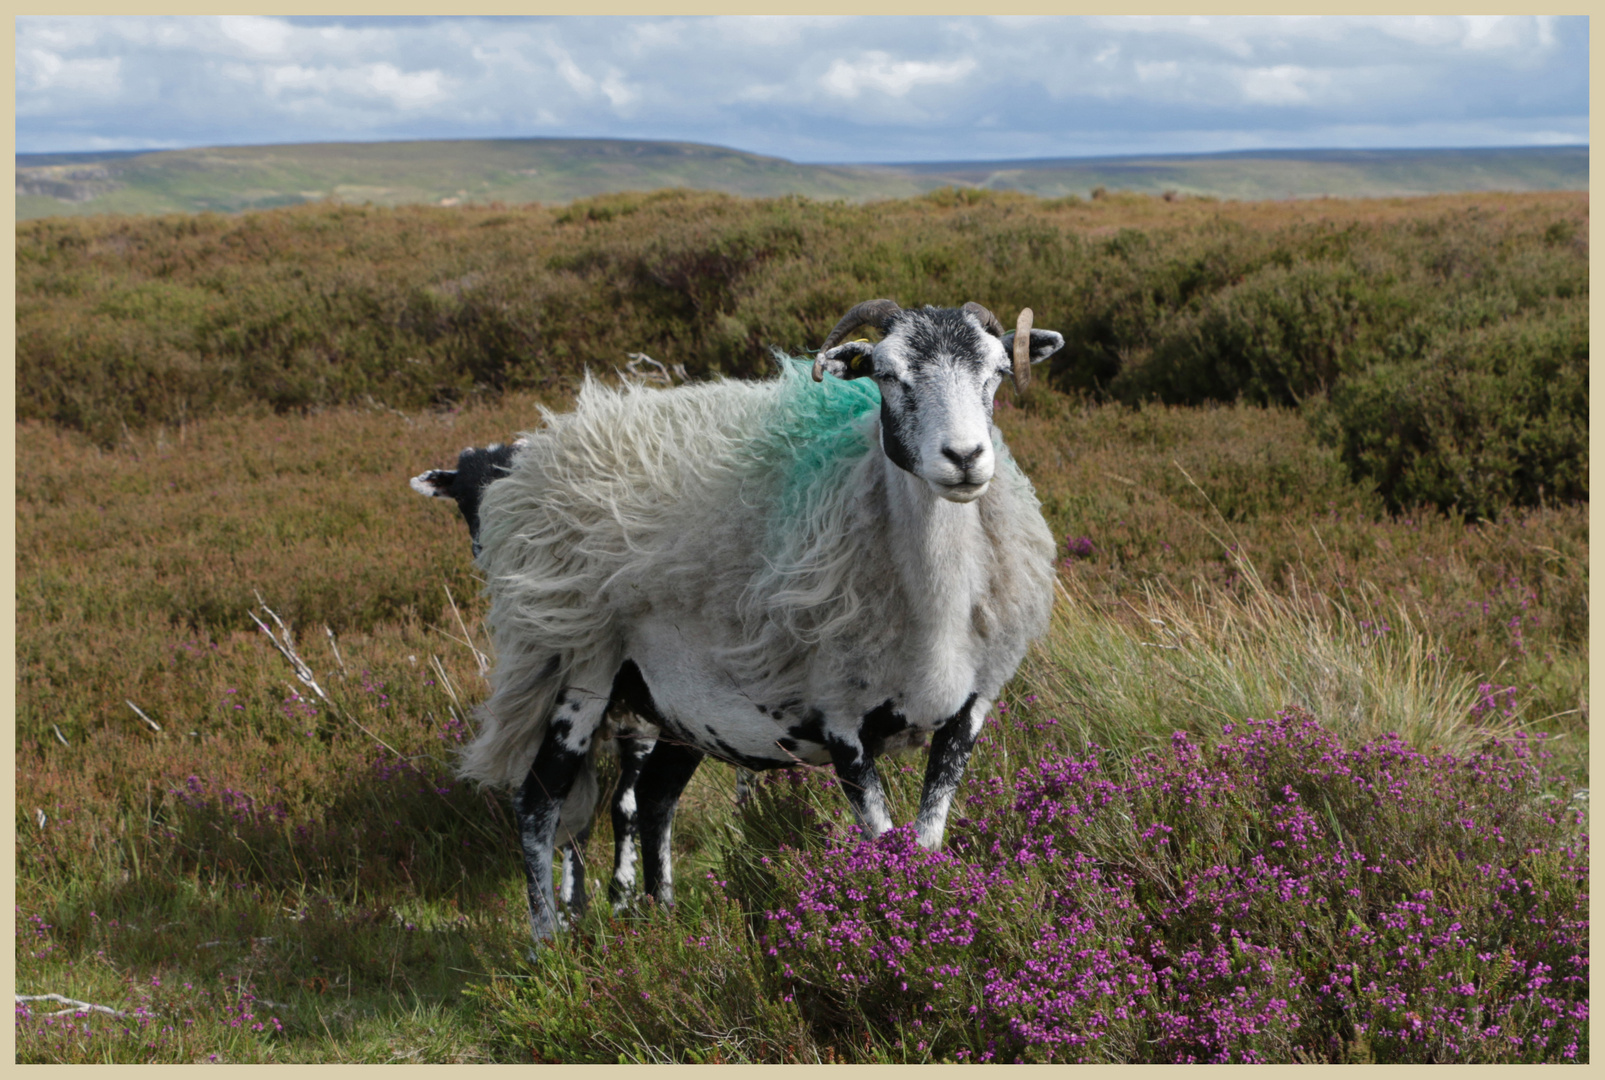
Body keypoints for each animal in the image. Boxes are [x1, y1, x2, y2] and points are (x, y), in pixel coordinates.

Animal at [414, 298, 1065, 937]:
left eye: (997, 373)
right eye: (886, 374)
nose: (965, 458)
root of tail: (549, 456)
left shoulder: (967, 712)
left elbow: (925, 842)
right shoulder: (842, 721)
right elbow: (885, 847)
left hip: (680, 706)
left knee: (653, 797)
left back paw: (663, 920)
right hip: (571, 669)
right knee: (538, 802)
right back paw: (550, 943)